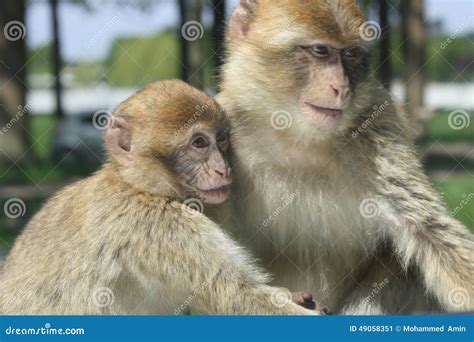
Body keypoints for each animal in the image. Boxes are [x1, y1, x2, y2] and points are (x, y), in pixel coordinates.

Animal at [0, 80, 322, 316]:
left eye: (221, 138)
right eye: (199, 143)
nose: (223, 168)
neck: (141, 186)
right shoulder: (164, 226)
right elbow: (238, 295)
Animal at [212, 0, 474, 316]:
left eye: (350, 54)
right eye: (320, 51)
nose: (342, 88)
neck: (298, 138)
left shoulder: (380, 128)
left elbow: (431, 232)